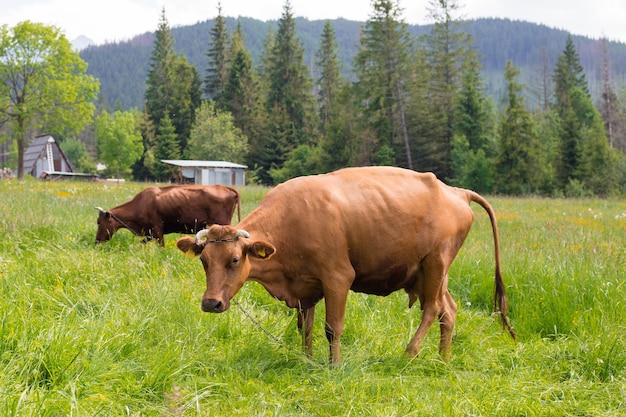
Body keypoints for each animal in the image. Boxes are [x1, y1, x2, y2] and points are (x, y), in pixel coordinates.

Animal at [174, 166, 512, 360]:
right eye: (204, 261)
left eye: (234, 259)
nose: (211, 303)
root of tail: (455, 191)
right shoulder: (305, 286)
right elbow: (305, 327)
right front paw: (307, 359)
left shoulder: (337, 279)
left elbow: (332, 328)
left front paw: (332, 366)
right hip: (430, 275)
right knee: (449, 310)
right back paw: (443, 359)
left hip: (435, 264)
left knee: (432, 308)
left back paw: (409, 354)